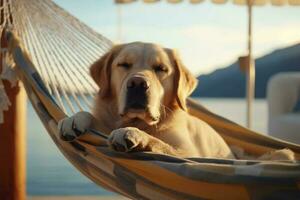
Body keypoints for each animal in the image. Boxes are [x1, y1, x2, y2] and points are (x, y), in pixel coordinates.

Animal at [59, 42, 296, 161]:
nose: (137, 83)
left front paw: (133, 134)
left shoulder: (190, 154)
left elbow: (159, 142)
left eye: (161, 69)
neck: (141, 122)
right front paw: (74, 118)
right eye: (124, 64)